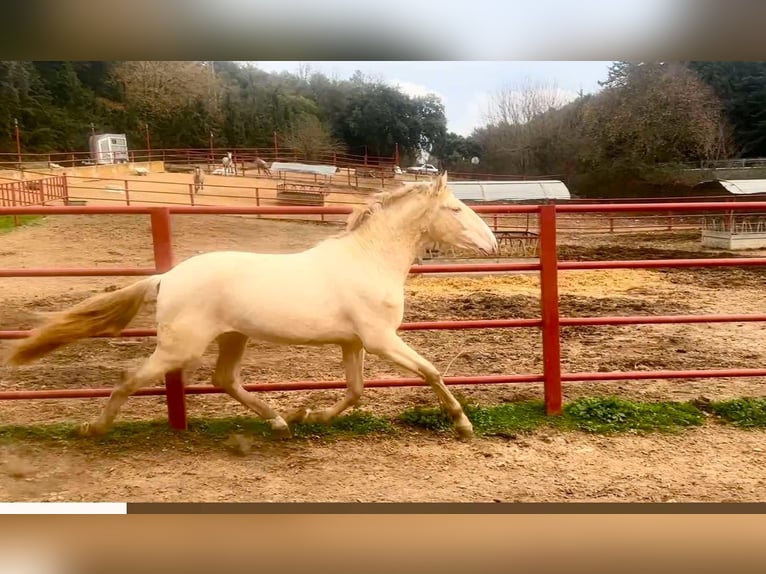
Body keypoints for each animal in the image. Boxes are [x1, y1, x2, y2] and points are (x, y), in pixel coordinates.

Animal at [6, 173, 500, 438]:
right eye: (456, 209)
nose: (493, 243)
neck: (368, 260)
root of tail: (166, 278)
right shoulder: (381, 340)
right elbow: (431, 371)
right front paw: (463, 424)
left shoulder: (353, 343)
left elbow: (356, 391)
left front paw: (309, 414)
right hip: (182, 347)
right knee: (131, 377)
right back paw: (93, 429)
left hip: (232, 337)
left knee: (224, 380)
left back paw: (280, 421)